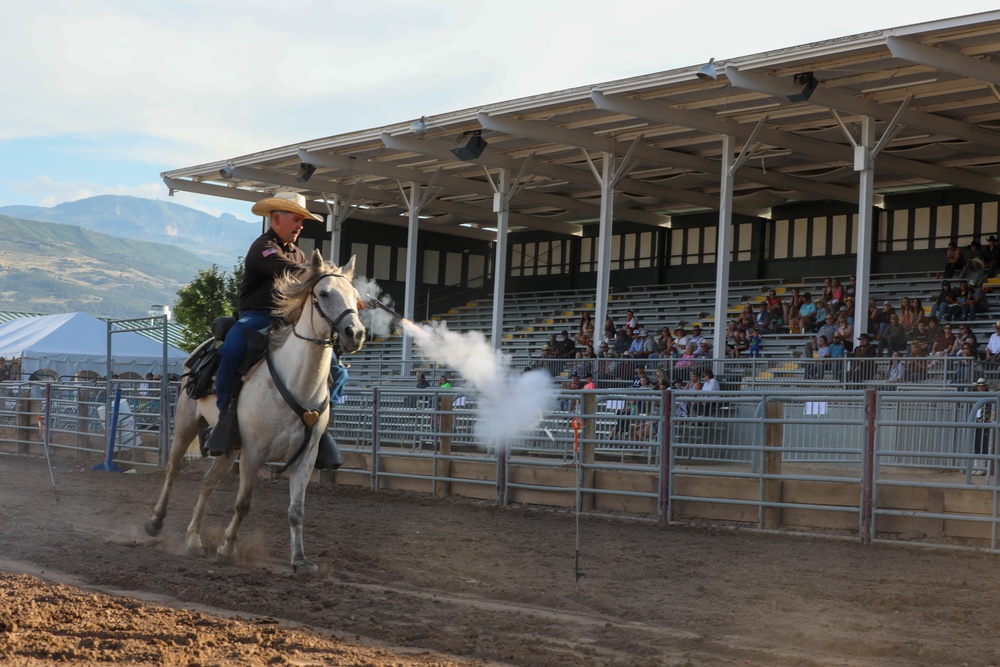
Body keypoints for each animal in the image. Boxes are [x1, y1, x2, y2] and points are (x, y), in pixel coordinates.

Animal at [146, 253, 366, 576]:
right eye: (324, 294)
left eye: (357, 297)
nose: (355, 333)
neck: (297, 380)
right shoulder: (253, 452)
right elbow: (244, 503)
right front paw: (227, 549)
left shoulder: (306, 456)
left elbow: (297, 510)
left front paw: (300, 560)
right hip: (187, 424)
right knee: (173, 470)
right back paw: (156, 521)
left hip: (228, 446)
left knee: (208, 482)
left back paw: (194, 541)